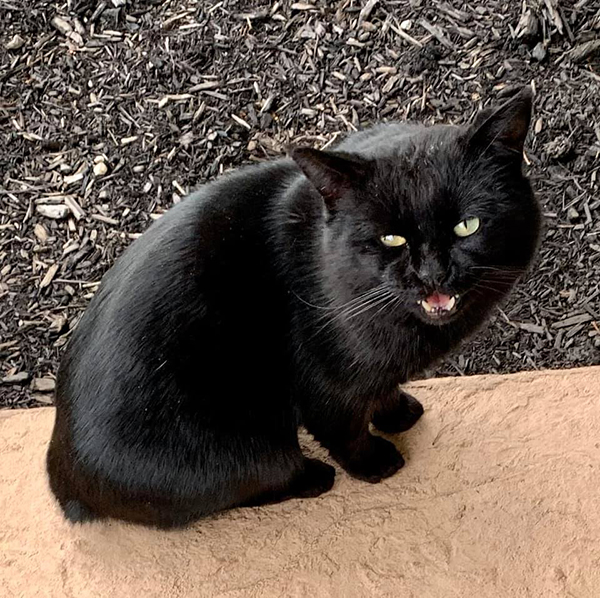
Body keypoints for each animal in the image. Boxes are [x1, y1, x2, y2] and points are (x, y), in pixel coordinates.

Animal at [47, 88, 540, 528]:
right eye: (391, 238)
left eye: (467, 225)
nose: (433, 273)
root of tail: (63, 476)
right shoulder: (328, 385)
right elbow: (346, 431)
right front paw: (375, 463)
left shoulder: (376, 373)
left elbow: (382, 392)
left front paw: (399, 413)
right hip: (248, 451)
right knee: (256, 484)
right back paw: (315, 477)